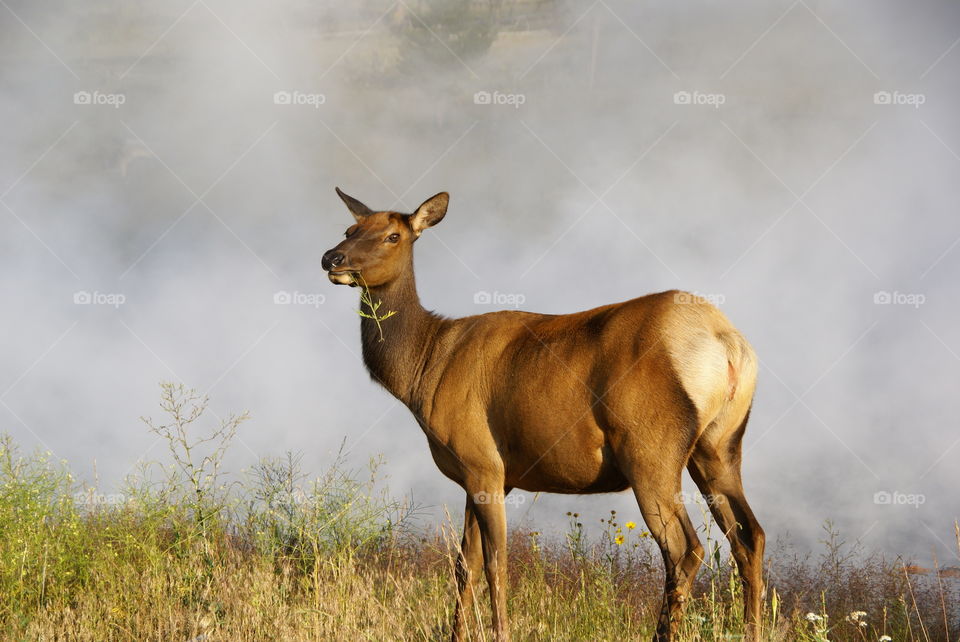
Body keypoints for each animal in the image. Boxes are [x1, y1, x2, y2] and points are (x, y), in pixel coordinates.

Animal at [321, 188, 766, 641]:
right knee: (749, 536)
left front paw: (501, 632)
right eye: (349, 229)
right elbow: (465, 564)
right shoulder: (487, 475)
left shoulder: (483, 463)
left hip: (650, 448)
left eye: (393, 235)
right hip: (719, 445)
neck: (424, 369)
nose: (332, 259)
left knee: (684, 548)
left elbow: (496, 563)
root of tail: (728, 344)